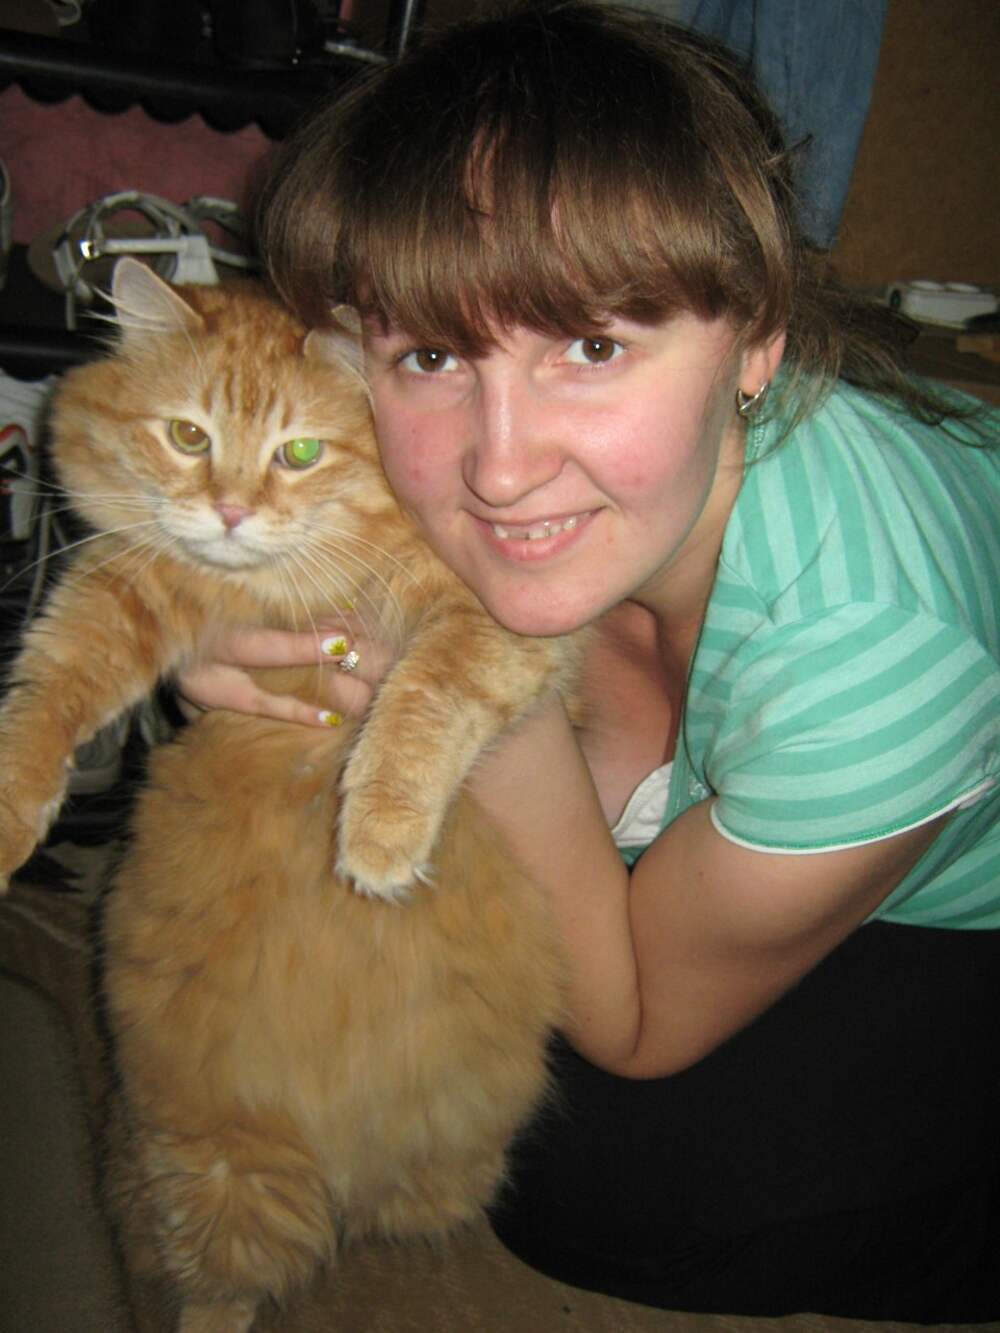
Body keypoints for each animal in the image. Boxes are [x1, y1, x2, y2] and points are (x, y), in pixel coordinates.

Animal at [0, 257, 571, 1330]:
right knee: (221, 1282)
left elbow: (423, 700)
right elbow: (48, 690)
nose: (229, 510)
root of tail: (340, 1172)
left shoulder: (491, 615)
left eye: (298, 452)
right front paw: (10, 810)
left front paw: (379, 836)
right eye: (189, 437)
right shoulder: (129, 592)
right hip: (222, 1164)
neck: (268, 584)